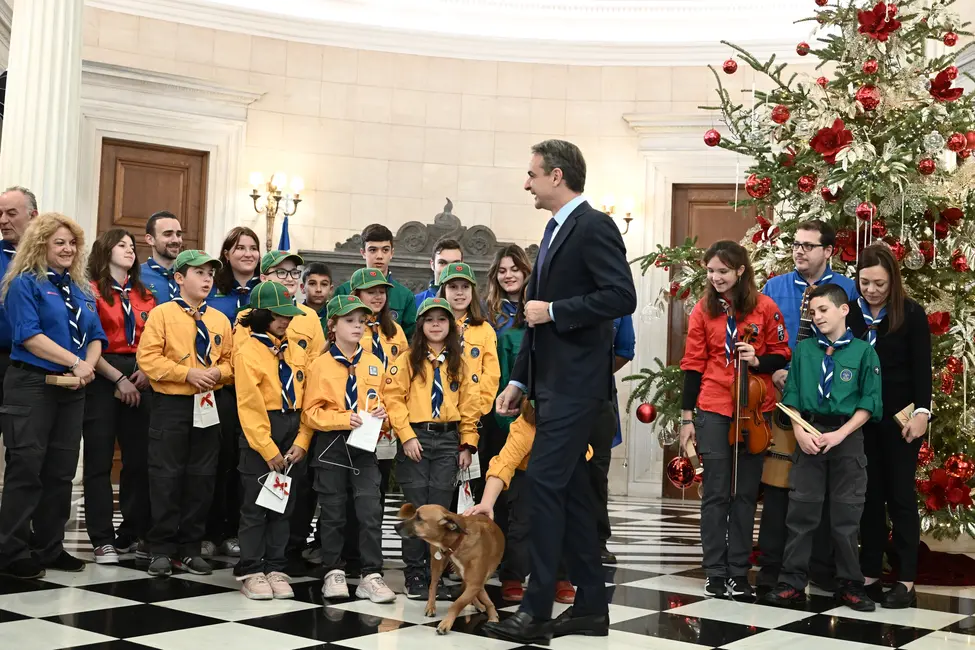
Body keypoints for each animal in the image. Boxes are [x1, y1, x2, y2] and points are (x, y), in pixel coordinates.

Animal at [394, 502, 504, 632]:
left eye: (419, 518)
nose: (395, 526)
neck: (458, 540)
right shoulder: (475, 583)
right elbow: (459, 603)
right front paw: (446, 623)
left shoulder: (476, 582)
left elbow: (466, 601)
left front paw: (492, 616)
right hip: (437, 564)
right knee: (433, 585)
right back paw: (430, 606)